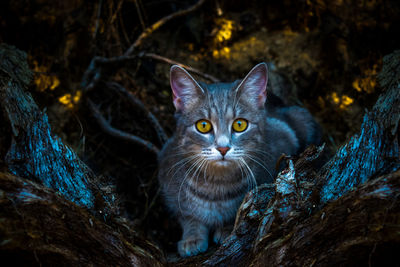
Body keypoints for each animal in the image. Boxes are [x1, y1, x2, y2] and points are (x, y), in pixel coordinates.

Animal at [157, 62, 322, 258]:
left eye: (240, 124)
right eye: (203, 126)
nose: (223, 148)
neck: (216, 186)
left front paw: (227, 227)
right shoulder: (167, 171)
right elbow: (188, 216)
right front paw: (192, 236)